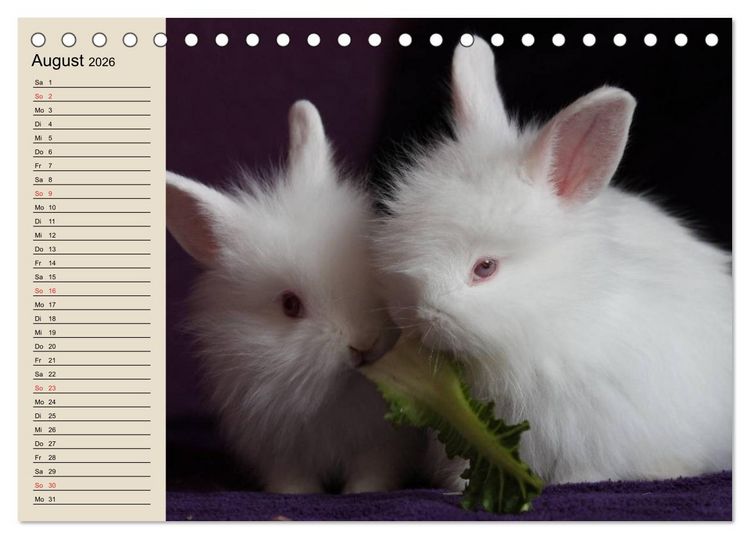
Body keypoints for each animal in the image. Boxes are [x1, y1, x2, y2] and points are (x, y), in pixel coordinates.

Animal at [166, 100, 426, 494]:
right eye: (290, 305)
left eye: (372, 272)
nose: (363, 344)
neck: (333, 396)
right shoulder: (278, 449)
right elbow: (292, 480)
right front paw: (299, 493)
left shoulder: (382, 445)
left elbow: (371, 474)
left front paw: (362, 492)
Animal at [373, 37, 732, 486]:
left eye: (485, 268)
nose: (420, 317)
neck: (552, 316)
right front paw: (457, 488)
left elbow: (588, 466)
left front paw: (578, 482)